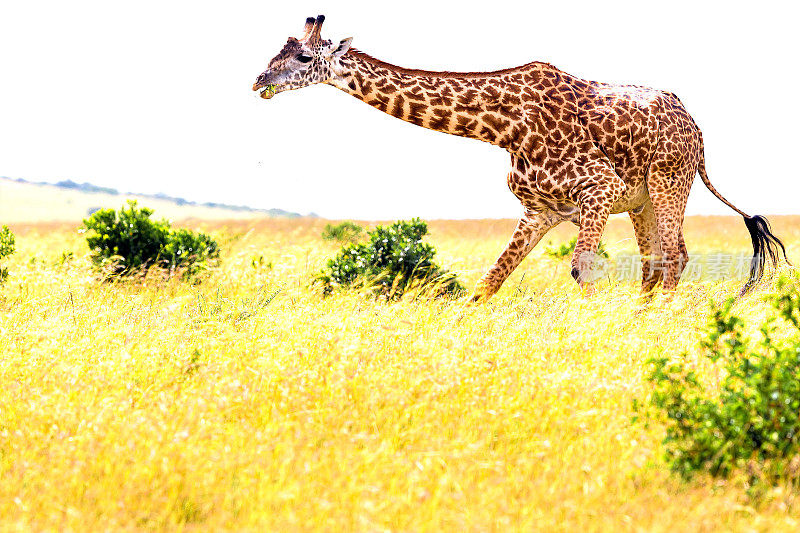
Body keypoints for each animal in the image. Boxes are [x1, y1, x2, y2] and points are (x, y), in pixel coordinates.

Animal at [255, 15, 788, 300]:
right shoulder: (539, 211)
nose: (260, 80)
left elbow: (580, 269)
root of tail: (698, 131)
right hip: (641, 201)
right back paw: (643, 319)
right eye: (277, 51)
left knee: (674, 257)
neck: (502, 127)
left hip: (667, 182)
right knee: (656, 261)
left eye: (304, 58)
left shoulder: (600, 188)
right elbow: (487, 283)